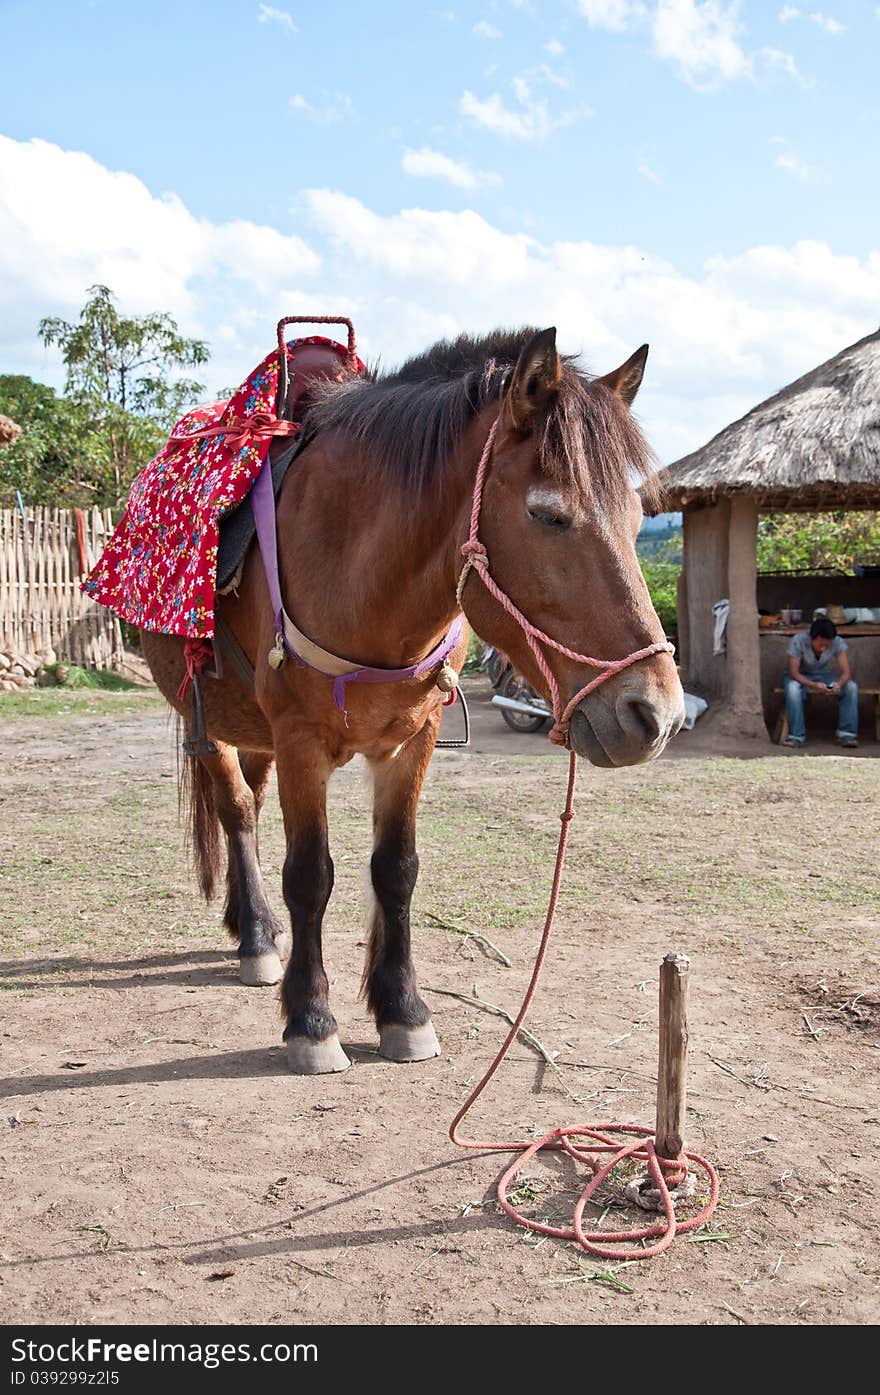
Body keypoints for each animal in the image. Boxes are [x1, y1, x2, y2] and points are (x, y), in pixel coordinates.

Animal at [140, 326, 686, 1076]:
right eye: (548, 514)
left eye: (637, 520)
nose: (655, 715)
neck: (358, 565)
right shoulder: (302, 739)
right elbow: (309, 875)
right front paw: (311, 1021)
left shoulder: (412, 738)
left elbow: (395, 870)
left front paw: (402, 1009)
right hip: (207, 717)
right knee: (237, 811)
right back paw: (254, 935)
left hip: (252, 727)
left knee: (248, 800)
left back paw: (261, 930)